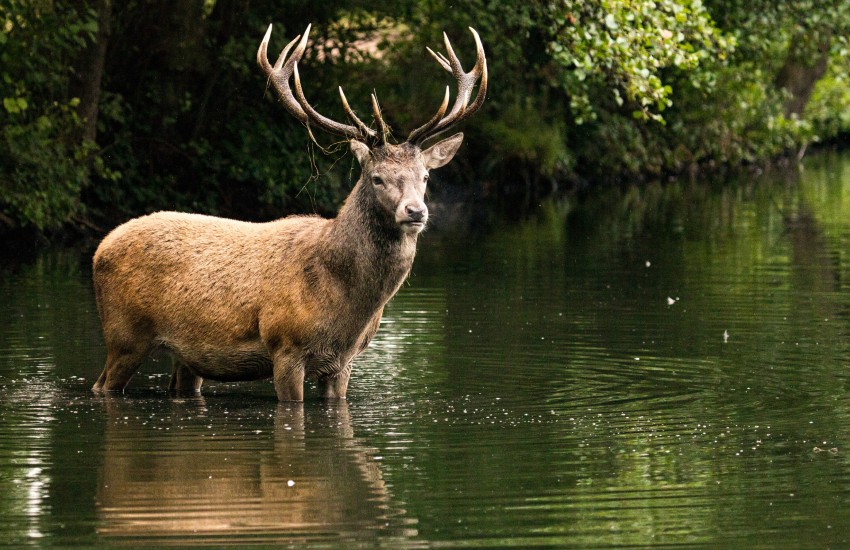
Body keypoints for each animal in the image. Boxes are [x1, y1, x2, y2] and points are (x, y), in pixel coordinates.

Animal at [91, 22, 487, 401]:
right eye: (377, 177)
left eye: (425, 176)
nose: (415, 211)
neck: (346, 307)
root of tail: (100, 247)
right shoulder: (285, 346)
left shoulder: (344, 363)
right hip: (124, 334)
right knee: (102, 384)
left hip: (186, 356)